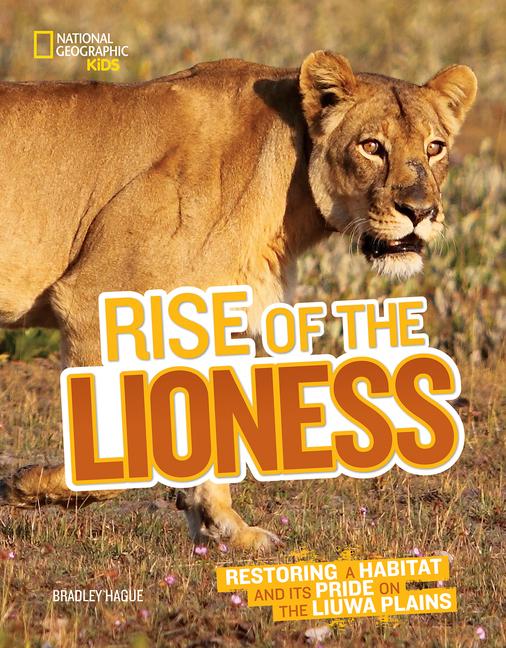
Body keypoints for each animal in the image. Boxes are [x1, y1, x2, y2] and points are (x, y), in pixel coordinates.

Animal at [0, 52, 476, 551]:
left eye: (435, 148)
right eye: (371, 146)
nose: (420, 212)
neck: (290, 205)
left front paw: (227, 529)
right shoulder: (93, 296)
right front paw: (22, 486)